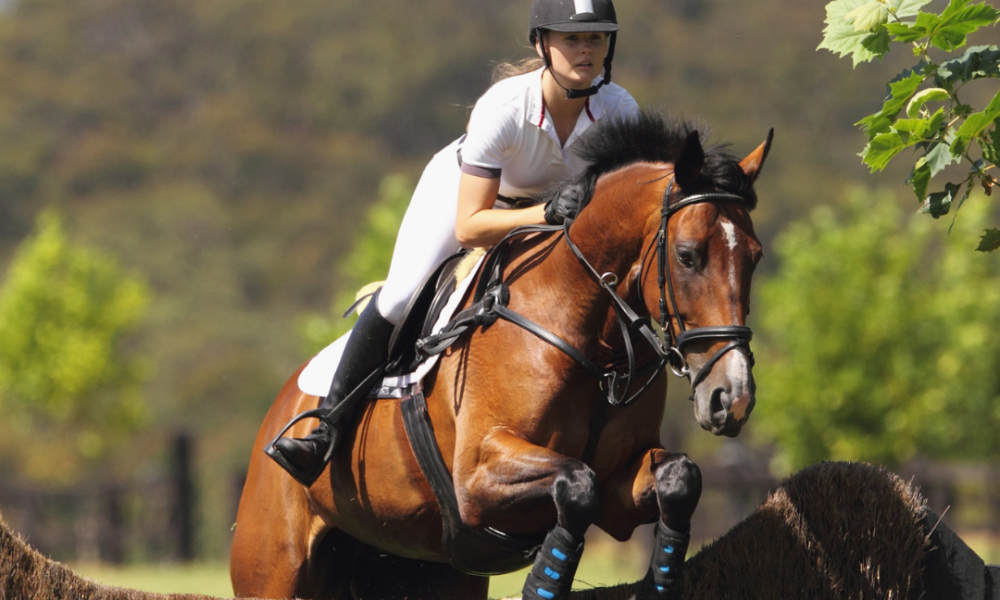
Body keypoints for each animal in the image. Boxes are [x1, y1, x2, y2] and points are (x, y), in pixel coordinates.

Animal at [230, 110, 771, 600]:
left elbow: (678, 478)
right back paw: (308, 444)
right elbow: (578, 484)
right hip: (274, 568)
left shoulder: (622, 486)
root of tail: (281, 407)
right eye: (687, 255)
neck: (588, 333)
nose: (733, 397)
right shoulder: (478, 479)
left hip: (426, 571)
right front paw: (543, 585)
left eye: (755, 257)